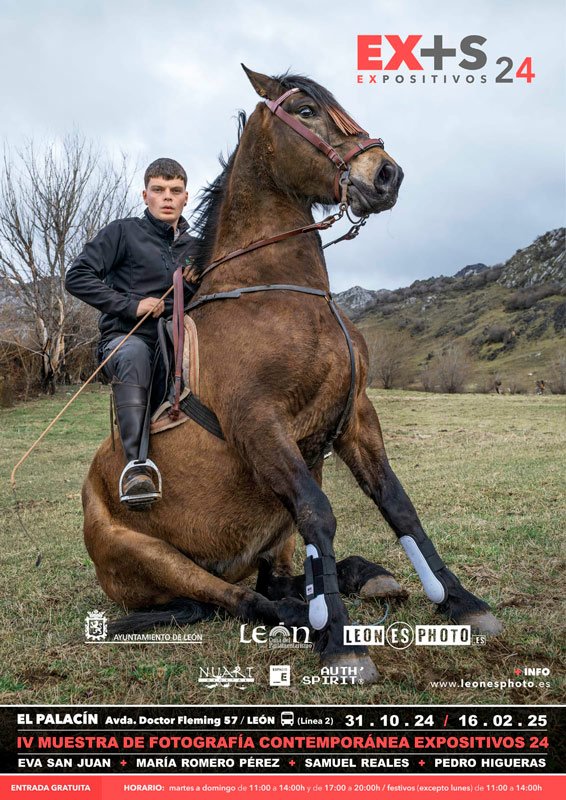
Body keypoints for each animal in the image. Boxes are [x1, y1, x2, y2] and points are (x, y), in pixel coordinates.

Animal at [82, 69, 504, 680]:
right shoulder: (260, 424)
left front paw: (460, 601)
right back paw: (310, 616)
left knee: (274, 579)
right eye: (305, 110)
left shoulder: (355, 414)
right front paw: (342, 642)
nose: (386, 174)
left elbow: (397, 503)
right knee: (243, 599)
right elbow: (318, 513)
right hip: (153, 558)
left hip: (269, 534)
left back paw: (359, 579)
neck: (278, 293)